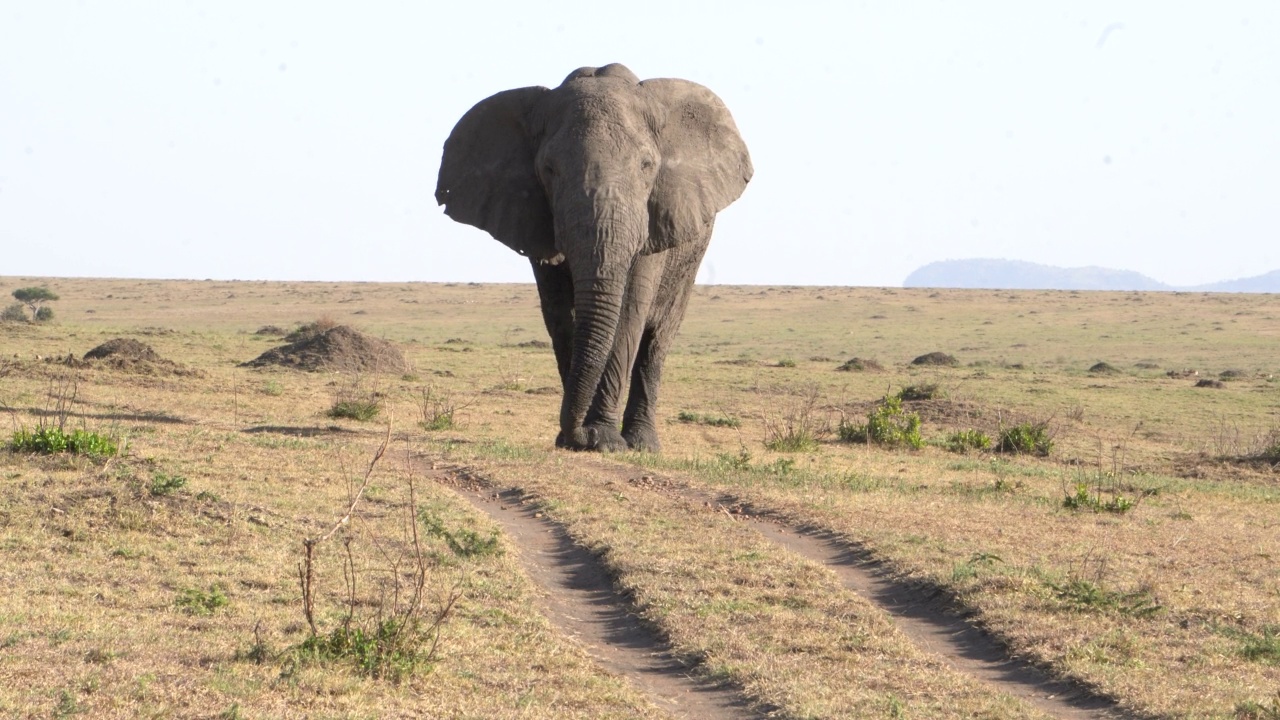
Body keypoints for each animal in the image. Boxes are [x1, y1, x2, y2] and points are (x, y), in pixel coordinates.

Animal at [437, 64, 747, 450]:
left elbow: (628, 314)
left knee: (656, 342)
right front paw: (575, 440)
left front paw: (605, 441)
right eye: (548, 169)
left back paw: (643, 444)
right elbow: (560, 314)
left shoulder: (654, 217)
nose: (580, 435)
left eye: (647, 165)